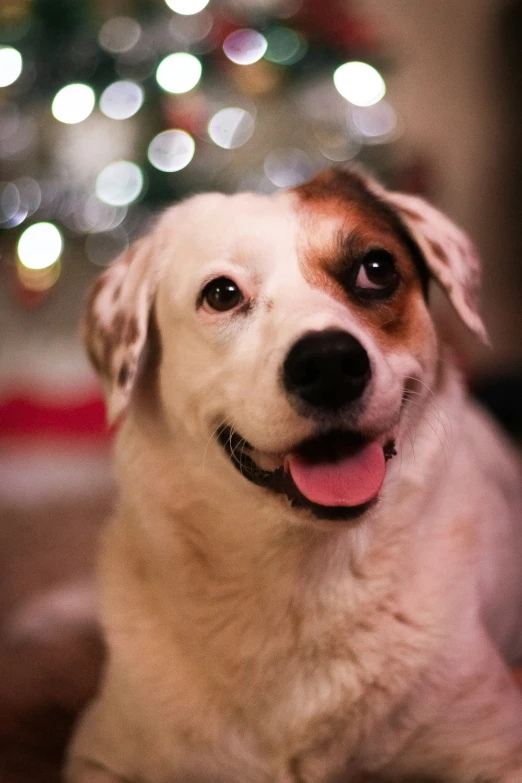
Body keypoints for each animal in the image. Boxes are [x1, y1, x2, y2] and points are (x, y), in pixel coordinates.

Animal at [66, 168, 522, 780]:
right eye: (221, 293)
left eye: (376, 268)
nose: (329, 364)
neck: (302, 580)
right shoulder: (100, 754)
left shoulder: (493, 746)